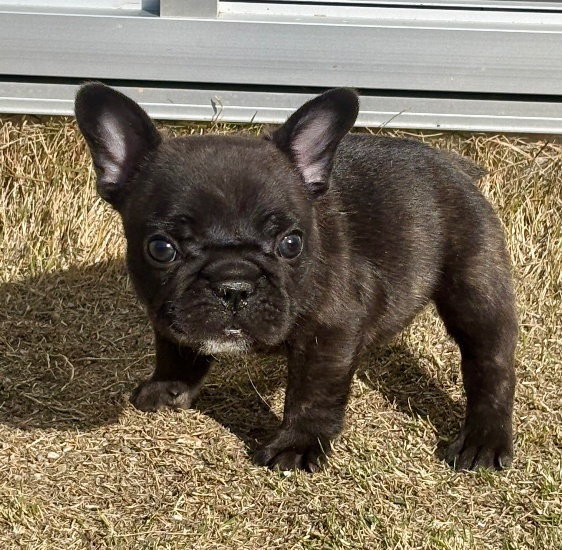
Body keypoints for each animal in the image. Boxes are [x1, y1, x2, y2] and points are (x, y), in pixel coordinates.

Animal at [75, 83, 517, 472]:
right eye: (161, 248)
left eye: (290, 243)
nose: (234, 285)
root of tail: (453, 165)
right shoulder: (165, 310)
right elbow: (173, 346)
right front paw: (168, 385)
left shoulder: (331, 330)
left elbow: (312, 392)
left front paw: (299, 445)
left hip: (474, 286)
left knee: (491, 360)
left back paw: (484, 439)